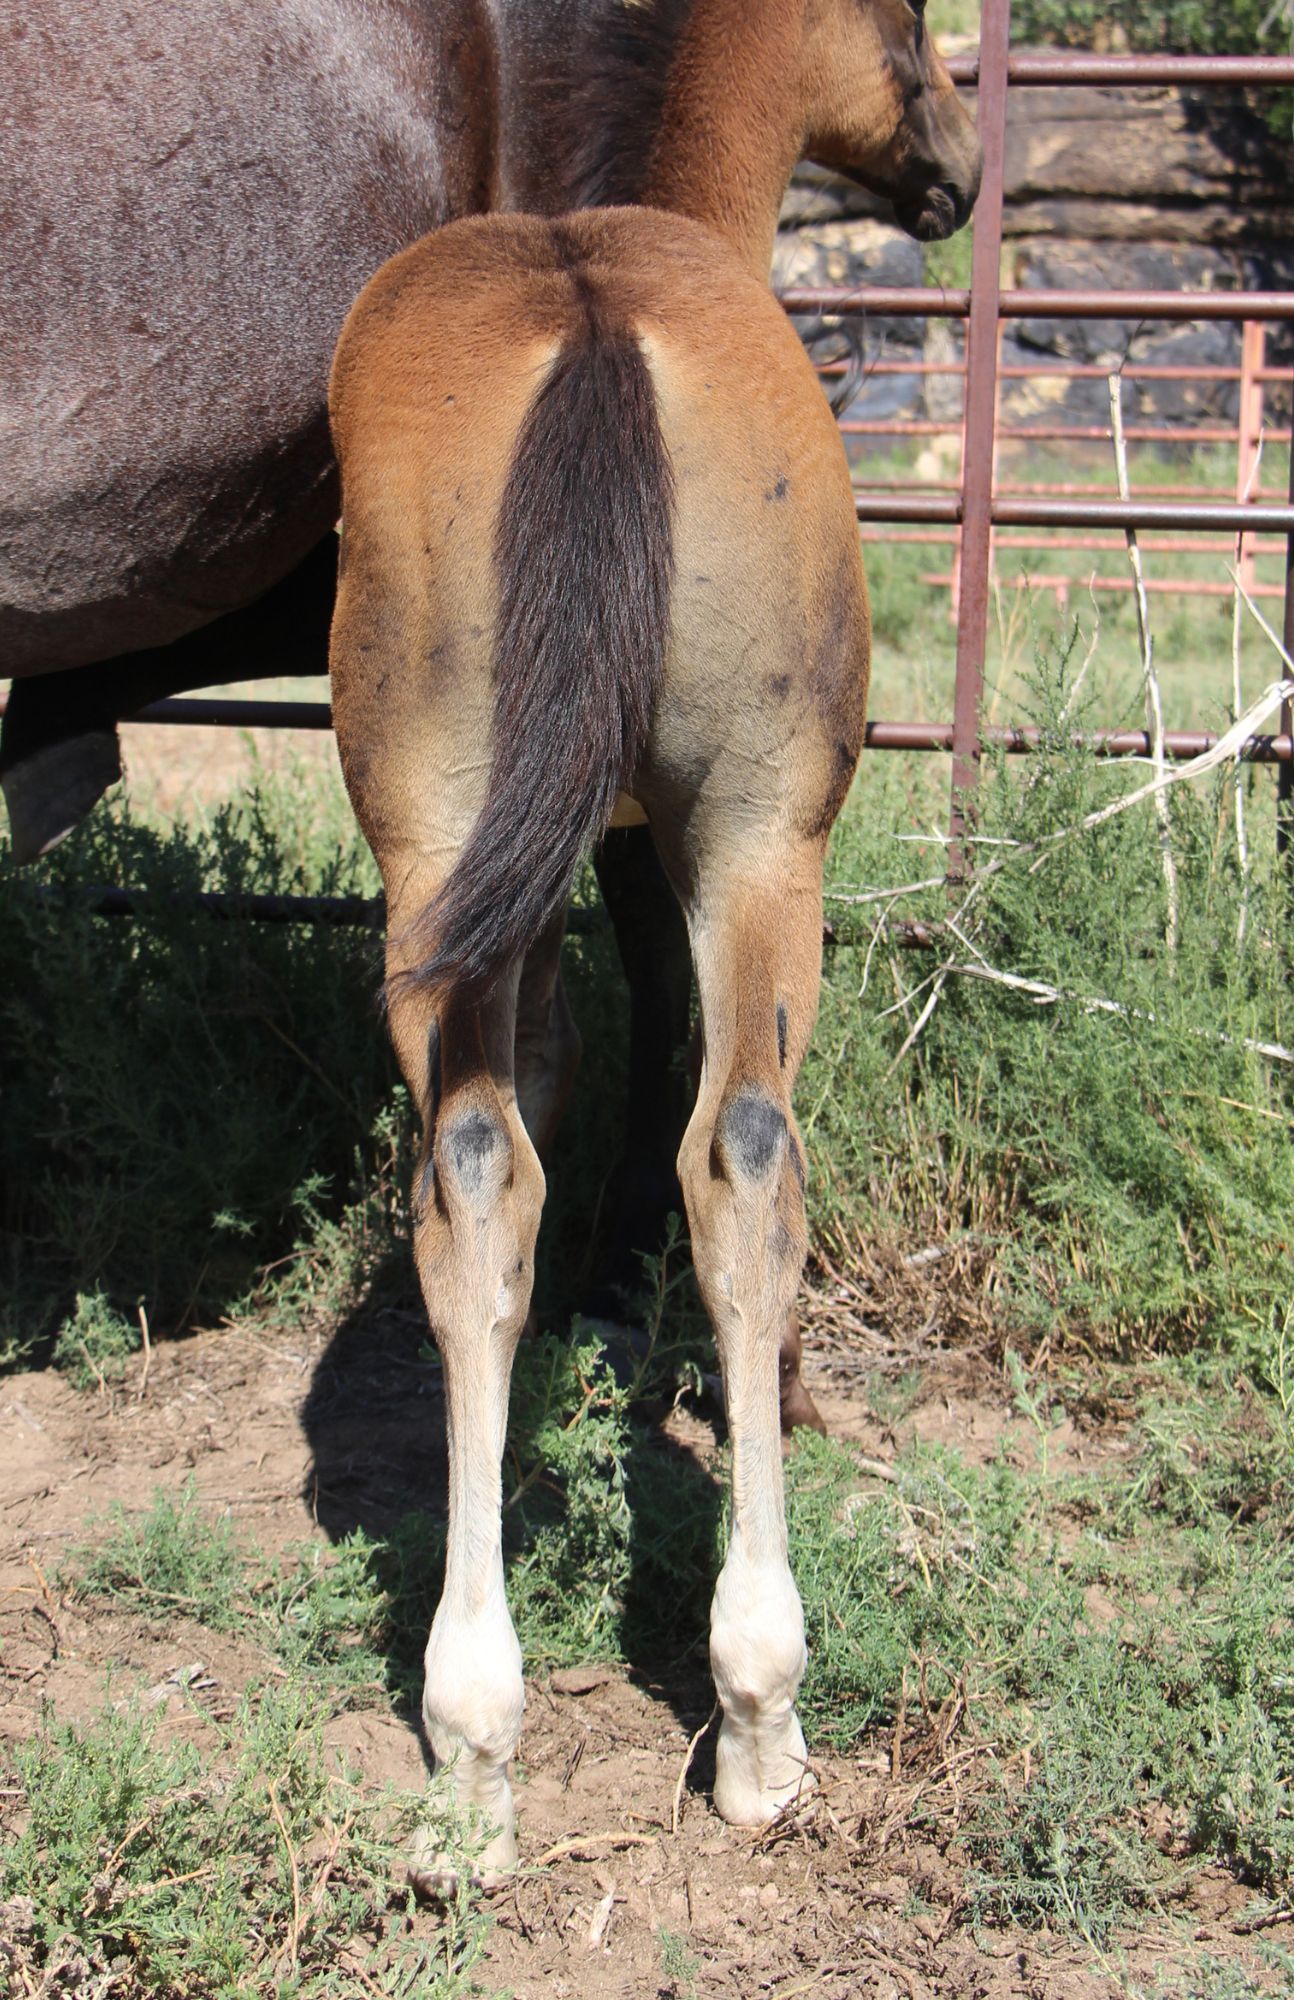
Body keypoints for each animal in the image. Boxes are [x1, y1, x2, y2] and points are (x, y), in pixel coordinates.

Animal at [328, 0, 979, 1887]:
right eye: (912, 28)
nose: (955, 169)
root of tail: (594, 316)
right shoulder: (650, 856)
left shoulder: (560, 870)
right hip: (763, 840)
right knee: (740, 1151)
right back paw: (749, 1718)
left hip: (469, 862)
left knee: (497, 1161)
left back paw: (490, 1742)